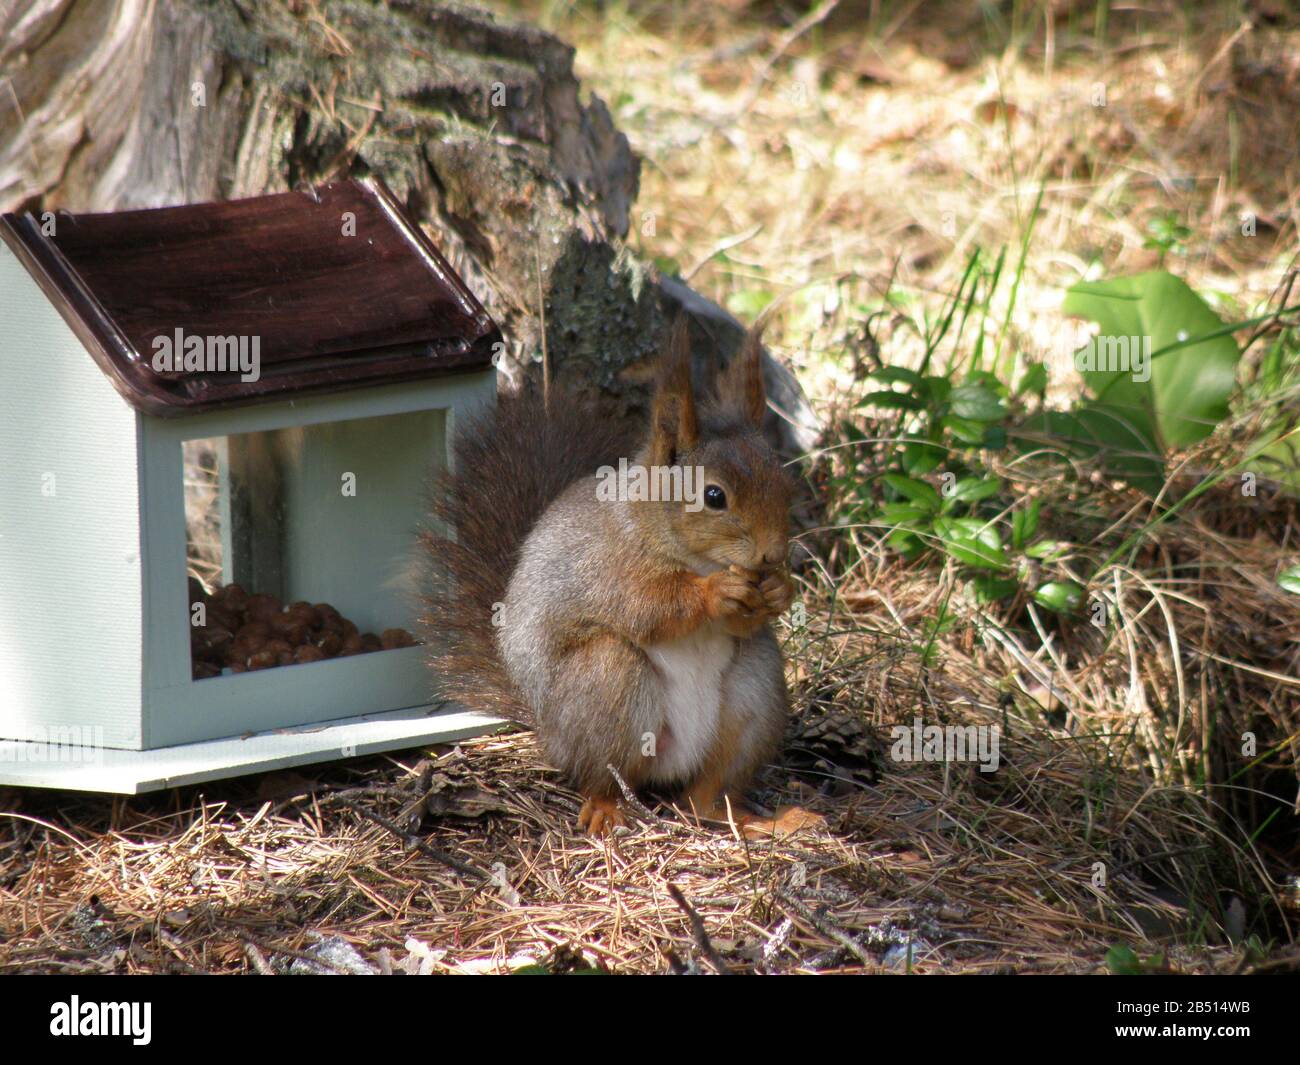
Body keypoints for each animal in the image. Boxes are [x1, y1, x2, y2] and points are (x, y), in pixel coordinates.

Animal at [419, 318, 821, 837]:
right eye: (713, 496)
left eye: (784, 484)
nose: (773, 555)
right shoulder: (607, 565)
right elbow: (645, 608)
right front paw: (716, 592)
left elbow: (742, 620)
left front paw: (777, 590)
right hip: (606, 682)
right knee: (603, 773)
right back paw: (605, 808)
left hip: (756, 690)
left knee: (704, 796)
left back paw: (762, 820)